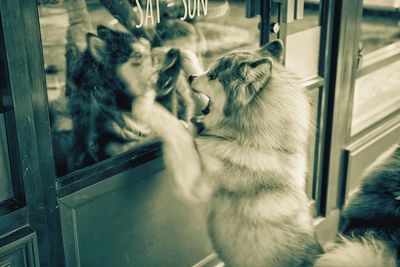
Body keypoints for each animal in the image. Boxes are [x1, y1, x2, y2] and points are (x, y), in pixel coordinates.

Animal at [131, 40, 322, 267]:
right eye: (209, 70)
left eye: (213, 76)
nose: (191, 78)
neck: (252, 143)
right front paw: (184, 55)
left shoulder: (192, 186)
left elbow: (176, 131)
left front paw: (145, 104)